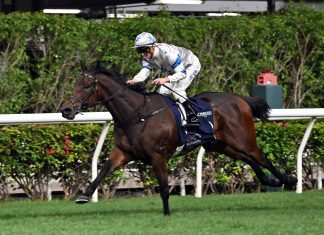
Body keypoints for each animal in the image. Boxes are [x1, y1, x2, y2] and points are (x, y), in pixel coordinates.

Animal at [60, 62, 296, 215]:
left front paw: (166, 214)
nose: (66, 110)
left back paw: (287, 180)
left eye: (86, 86)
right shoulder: (123, 152)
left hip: (242, 139)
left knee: (261, 157)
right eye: (76, 84)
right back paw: (271, 180)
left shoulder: (158, 156)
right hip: (221, 145)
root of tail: (239, 99)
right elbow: (103, 171)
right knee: (248, 159)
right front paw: (84, 195)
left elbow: (164, 187)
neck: (136, 114)